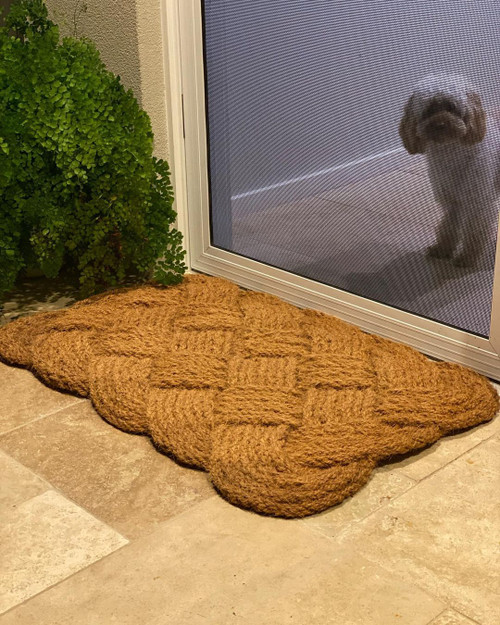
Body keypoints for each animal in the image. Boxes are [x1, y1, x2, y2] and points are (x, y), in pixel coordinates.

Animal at [398, 74, 500, 266]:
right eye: (429, 110)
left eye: (451, 107)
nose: (440, 124)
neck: (451, 153)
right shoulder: (452, 200)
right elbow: (448, 226)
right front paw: (442, 249)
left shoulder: (478, 201)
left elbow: (474, 232)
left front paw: (467, 257)